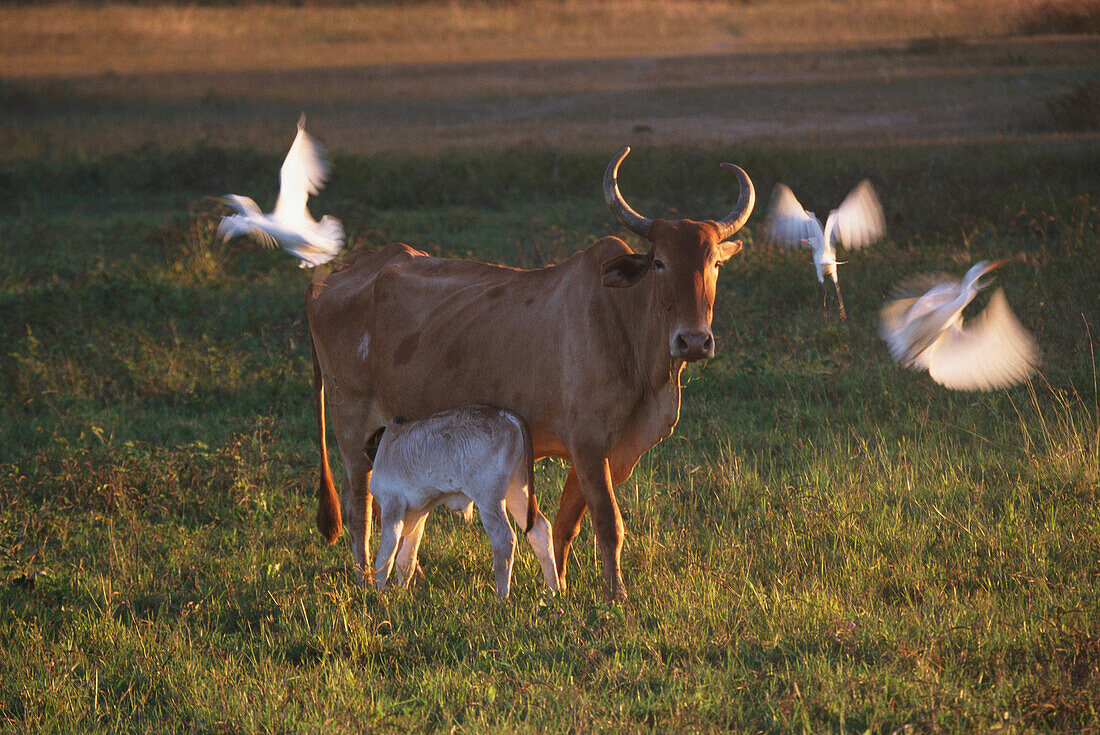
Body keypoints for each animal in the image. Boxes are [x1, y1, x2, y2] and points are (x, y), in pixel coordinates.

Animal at [367, 404, 558, 598]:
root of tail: (507, 415)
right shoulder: (418, 514)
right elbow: (406, 560)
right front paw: (401, 592)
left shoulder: (392, 506)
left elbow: (384, 558)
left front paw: (378, 593)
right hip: (517, 489)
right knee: (540, 529)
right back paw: (553, 591)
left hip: (489, 497)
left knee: (504, 539)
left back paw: (501, 596)